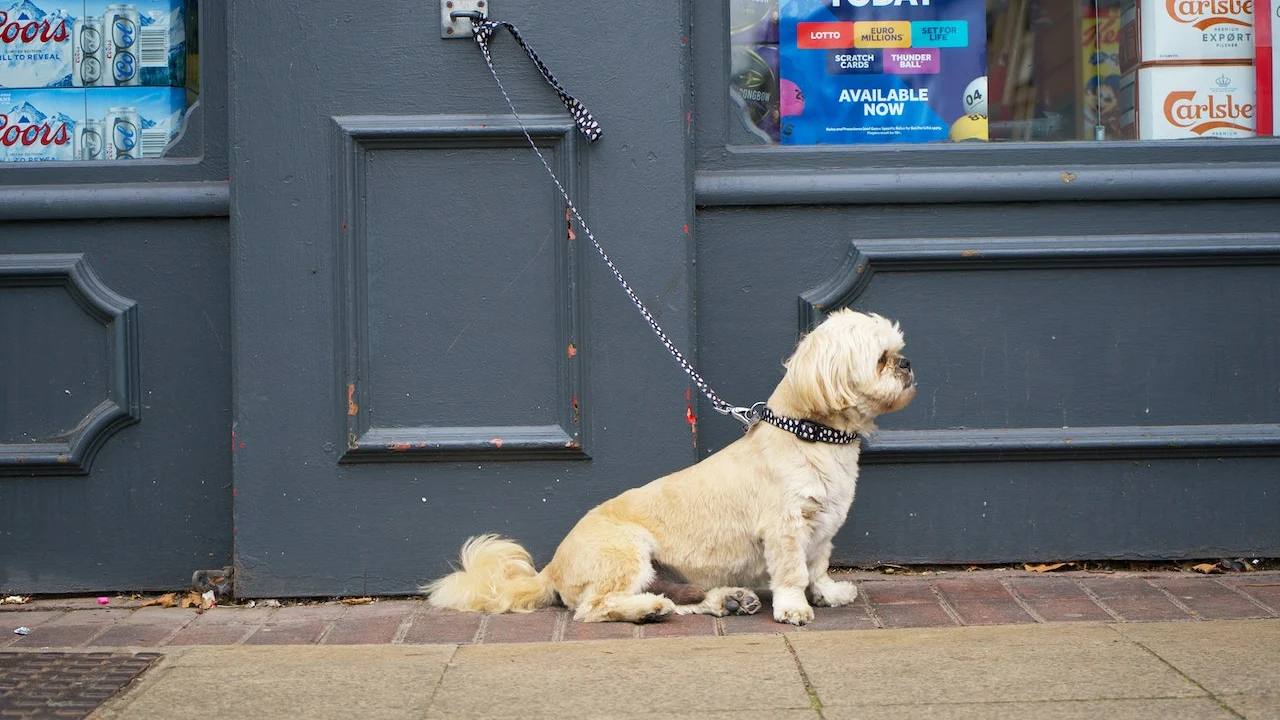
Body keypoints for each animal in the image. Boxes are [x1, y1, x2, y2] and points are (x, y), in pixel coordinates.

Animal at [424, 308, 916, 622]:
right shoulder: (786, 528)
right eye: (880, 360)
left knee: (677, 599)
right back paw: (648, 612)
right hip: (628, 552)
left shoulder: (822, 530)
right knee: (595, 608)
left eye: (898, 350)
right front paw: (795, 607)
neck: (810, 435)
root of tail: (552, 569)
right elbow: (795, 572)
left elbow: (818, 568)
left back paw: (724, 602)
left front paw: (830, 594)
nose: (907, 363)